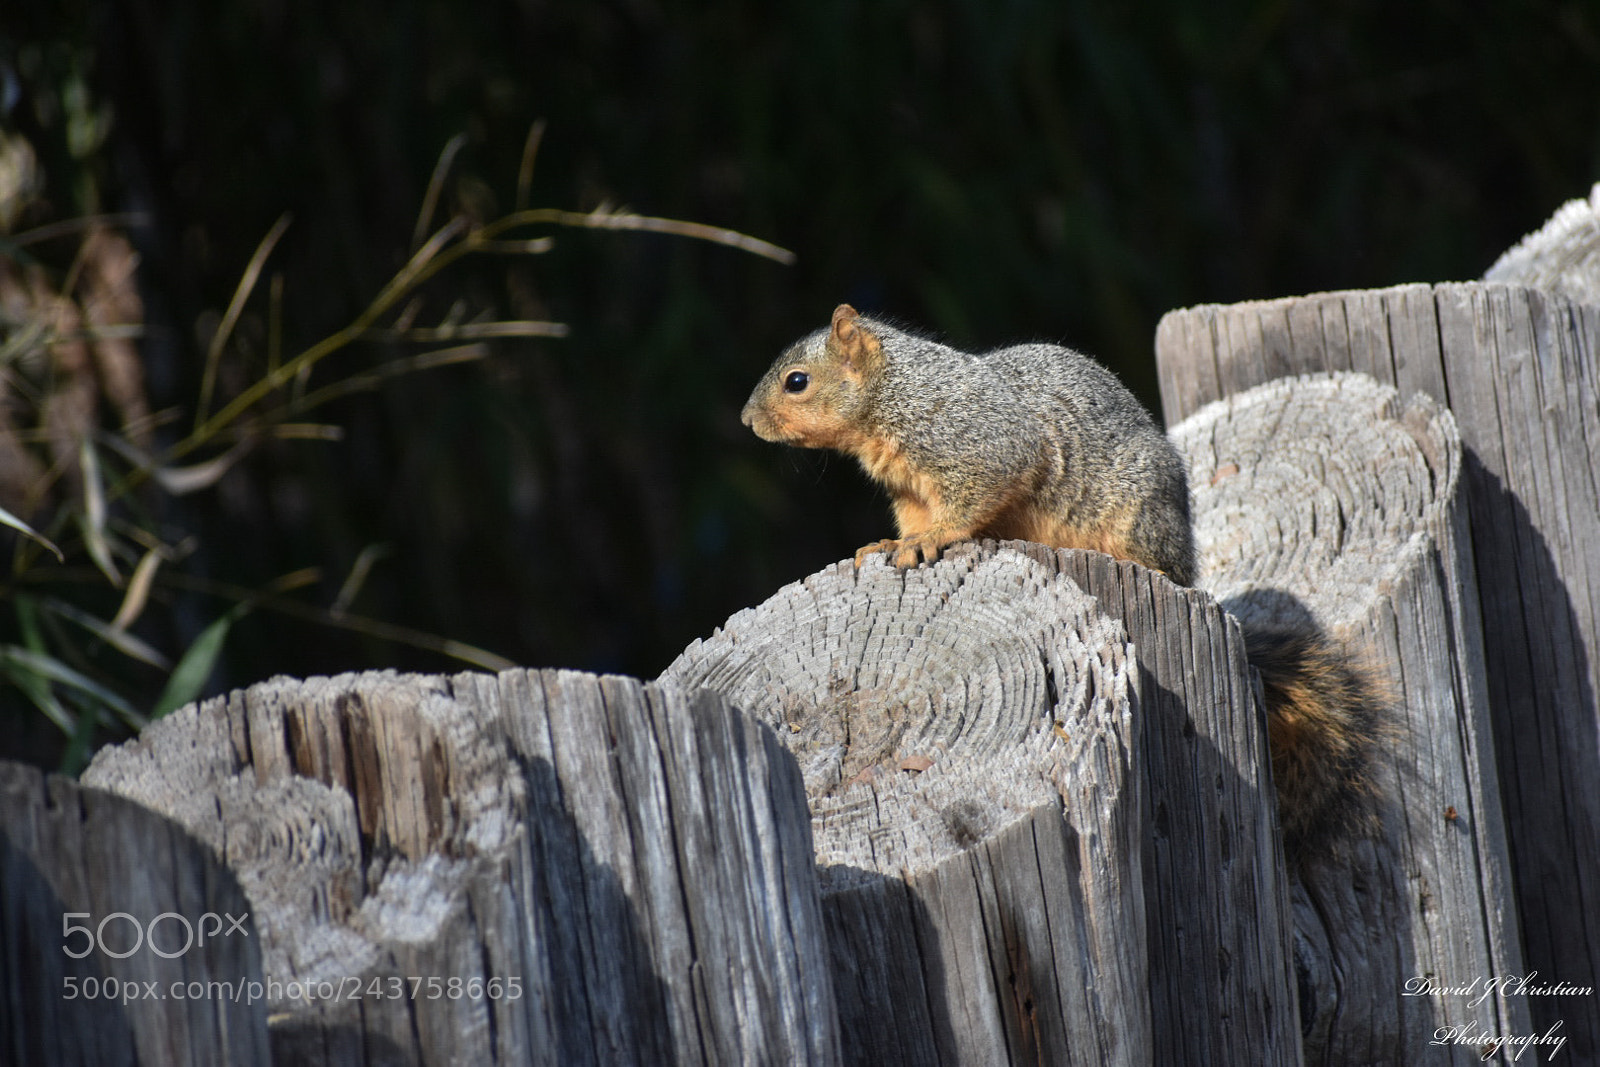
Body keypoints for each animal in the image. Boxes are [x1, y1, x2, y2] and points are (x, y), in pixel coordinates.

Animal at [741, 303, 1379, 858]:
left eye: (797, 381)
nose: (747, 420)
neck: (895, 393)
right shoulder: (910, 493)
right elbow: (916, 521)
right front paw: (887, 544)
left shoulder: (978, 444)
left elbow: (975, 497)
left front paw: (926, 543)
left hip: (1140, 522)